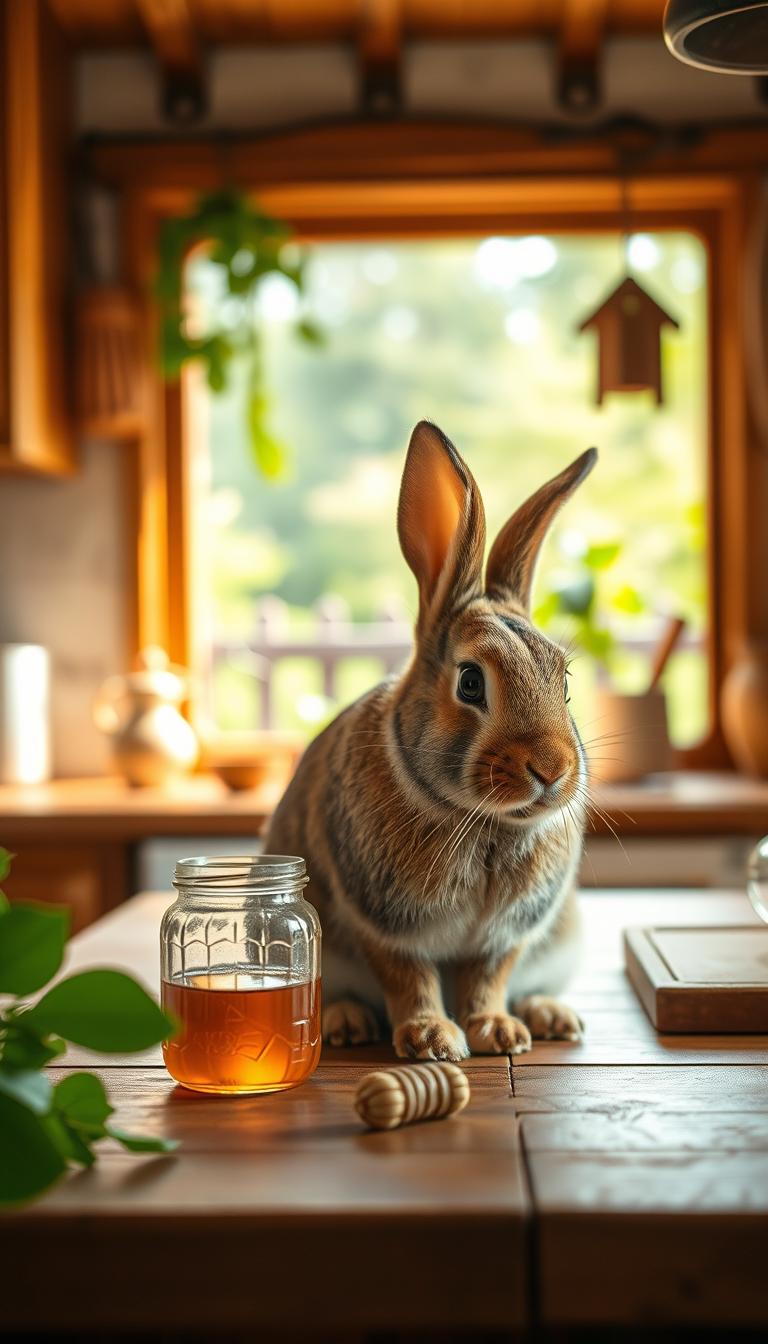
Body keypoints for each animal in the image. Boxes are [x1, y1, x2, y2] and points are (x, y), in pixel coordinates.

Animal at [265, 420, 597, 1060]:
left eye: (563, 679)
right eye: (470, 682)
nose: (552, 771)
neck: (481, 819)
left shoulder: (504, 937)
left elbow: (489, 978)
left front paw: (498, 1032)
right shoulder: (386, 926)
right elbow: (408, 978)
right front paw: (433, 1040)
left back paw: (549, 1015)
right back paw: (345, 1022)